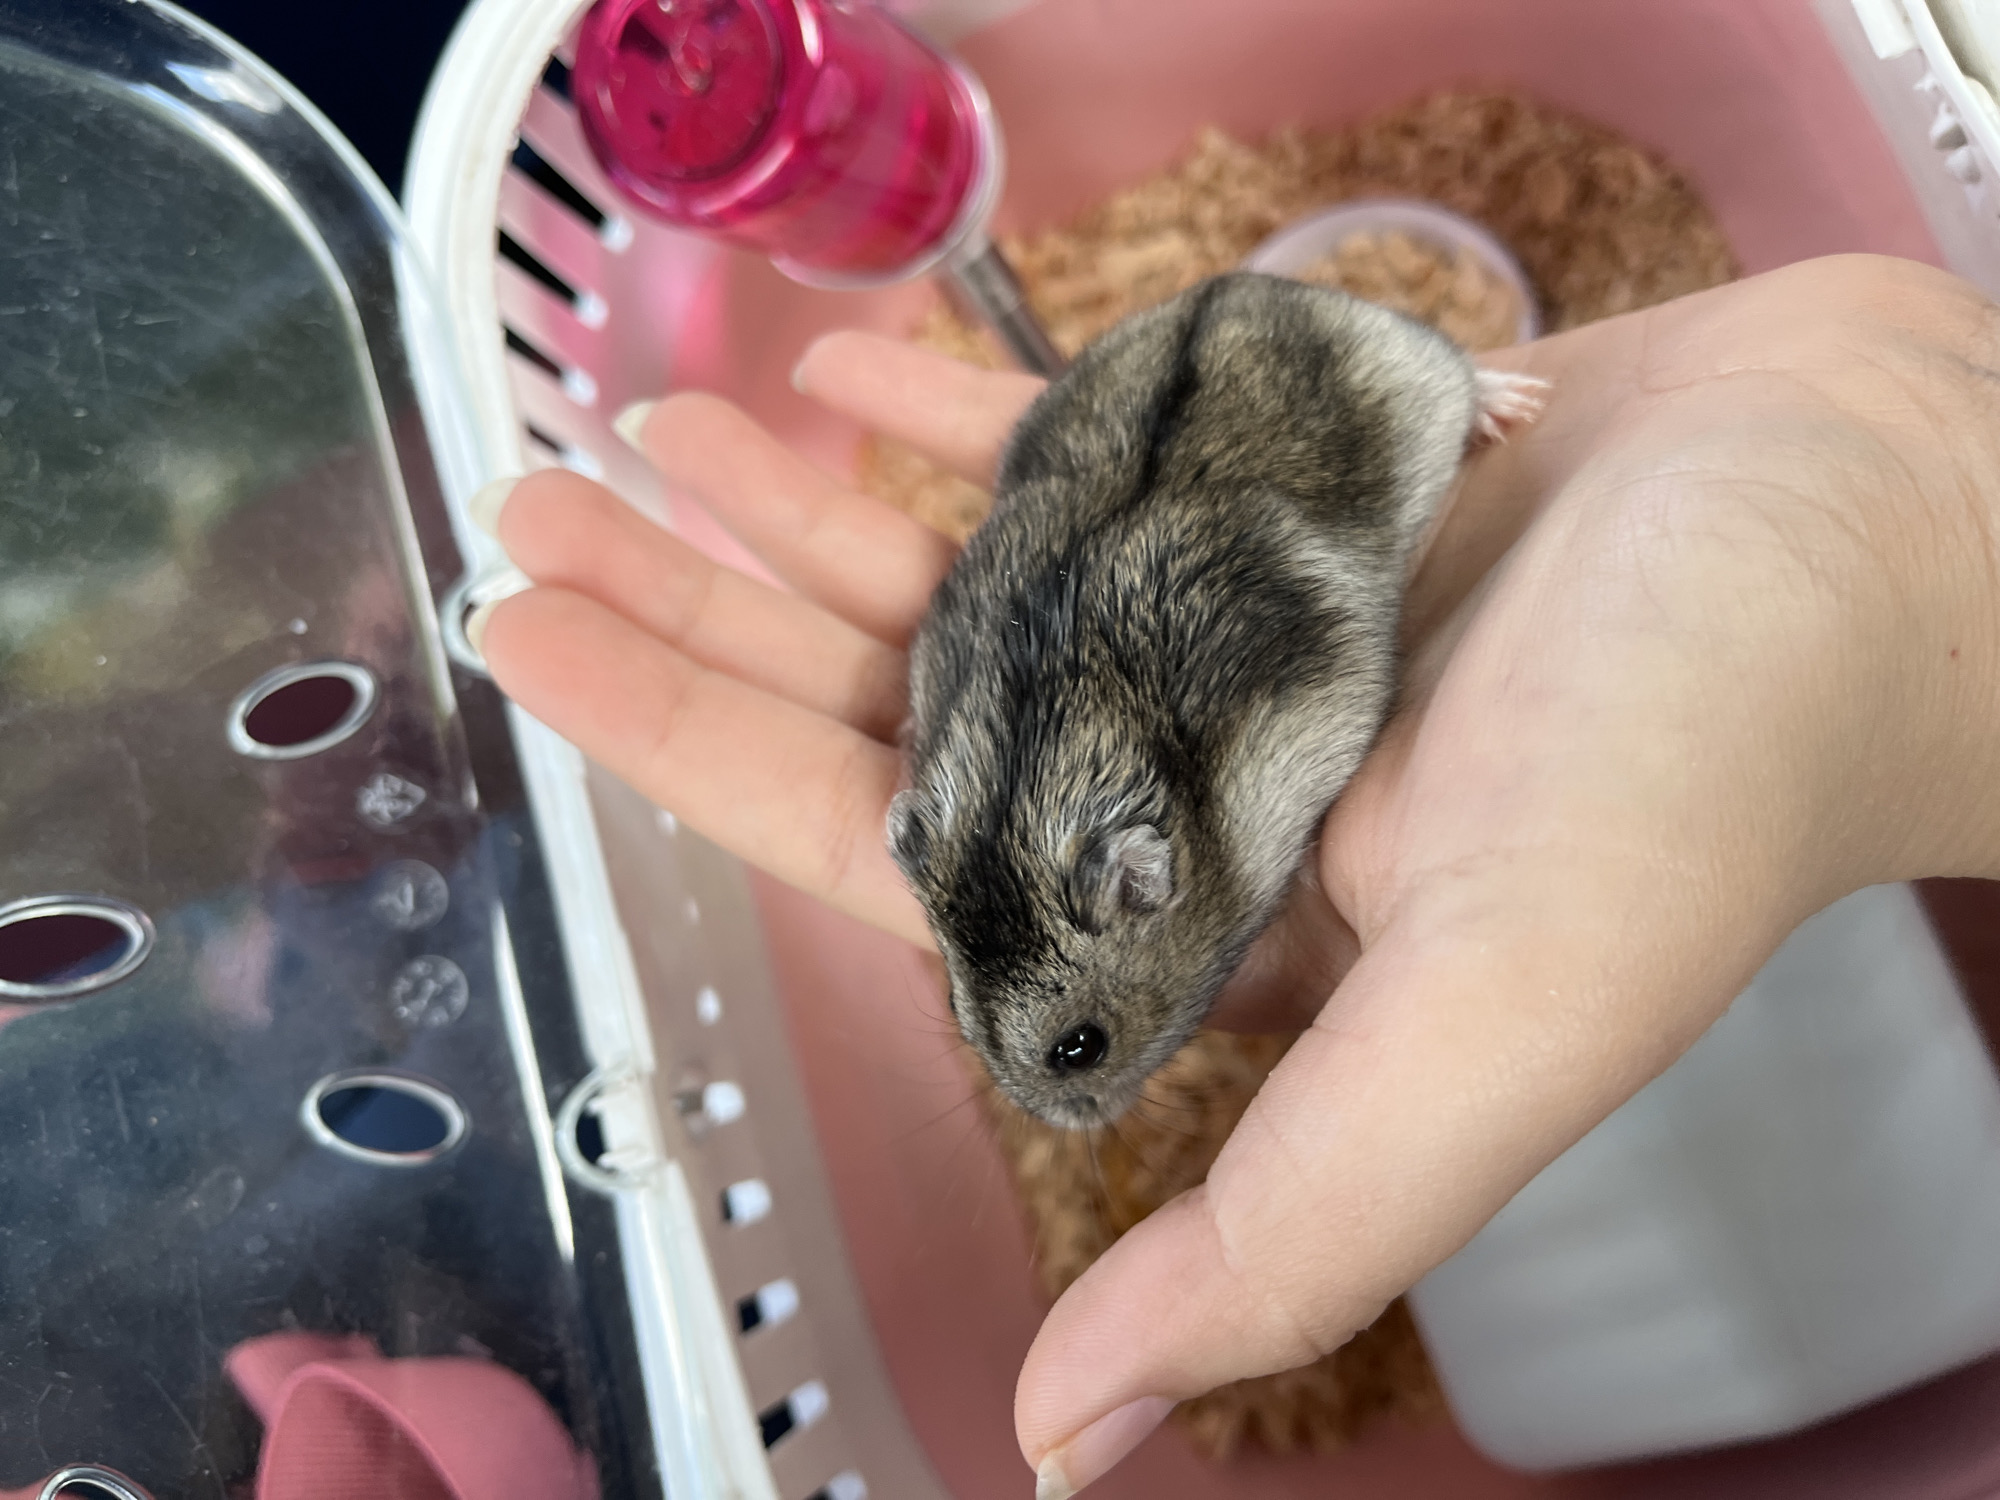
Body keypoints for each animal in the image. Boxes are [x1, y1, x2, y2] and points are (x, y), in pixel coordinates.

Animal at [888, 272, 1545, 1128]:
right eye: (956, 1013)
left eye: (1080, 1046)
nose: (1063, 1122)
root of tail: (1233, 281)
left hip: (1414, 363)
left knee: (1463, 373)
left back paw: (1514, 402)